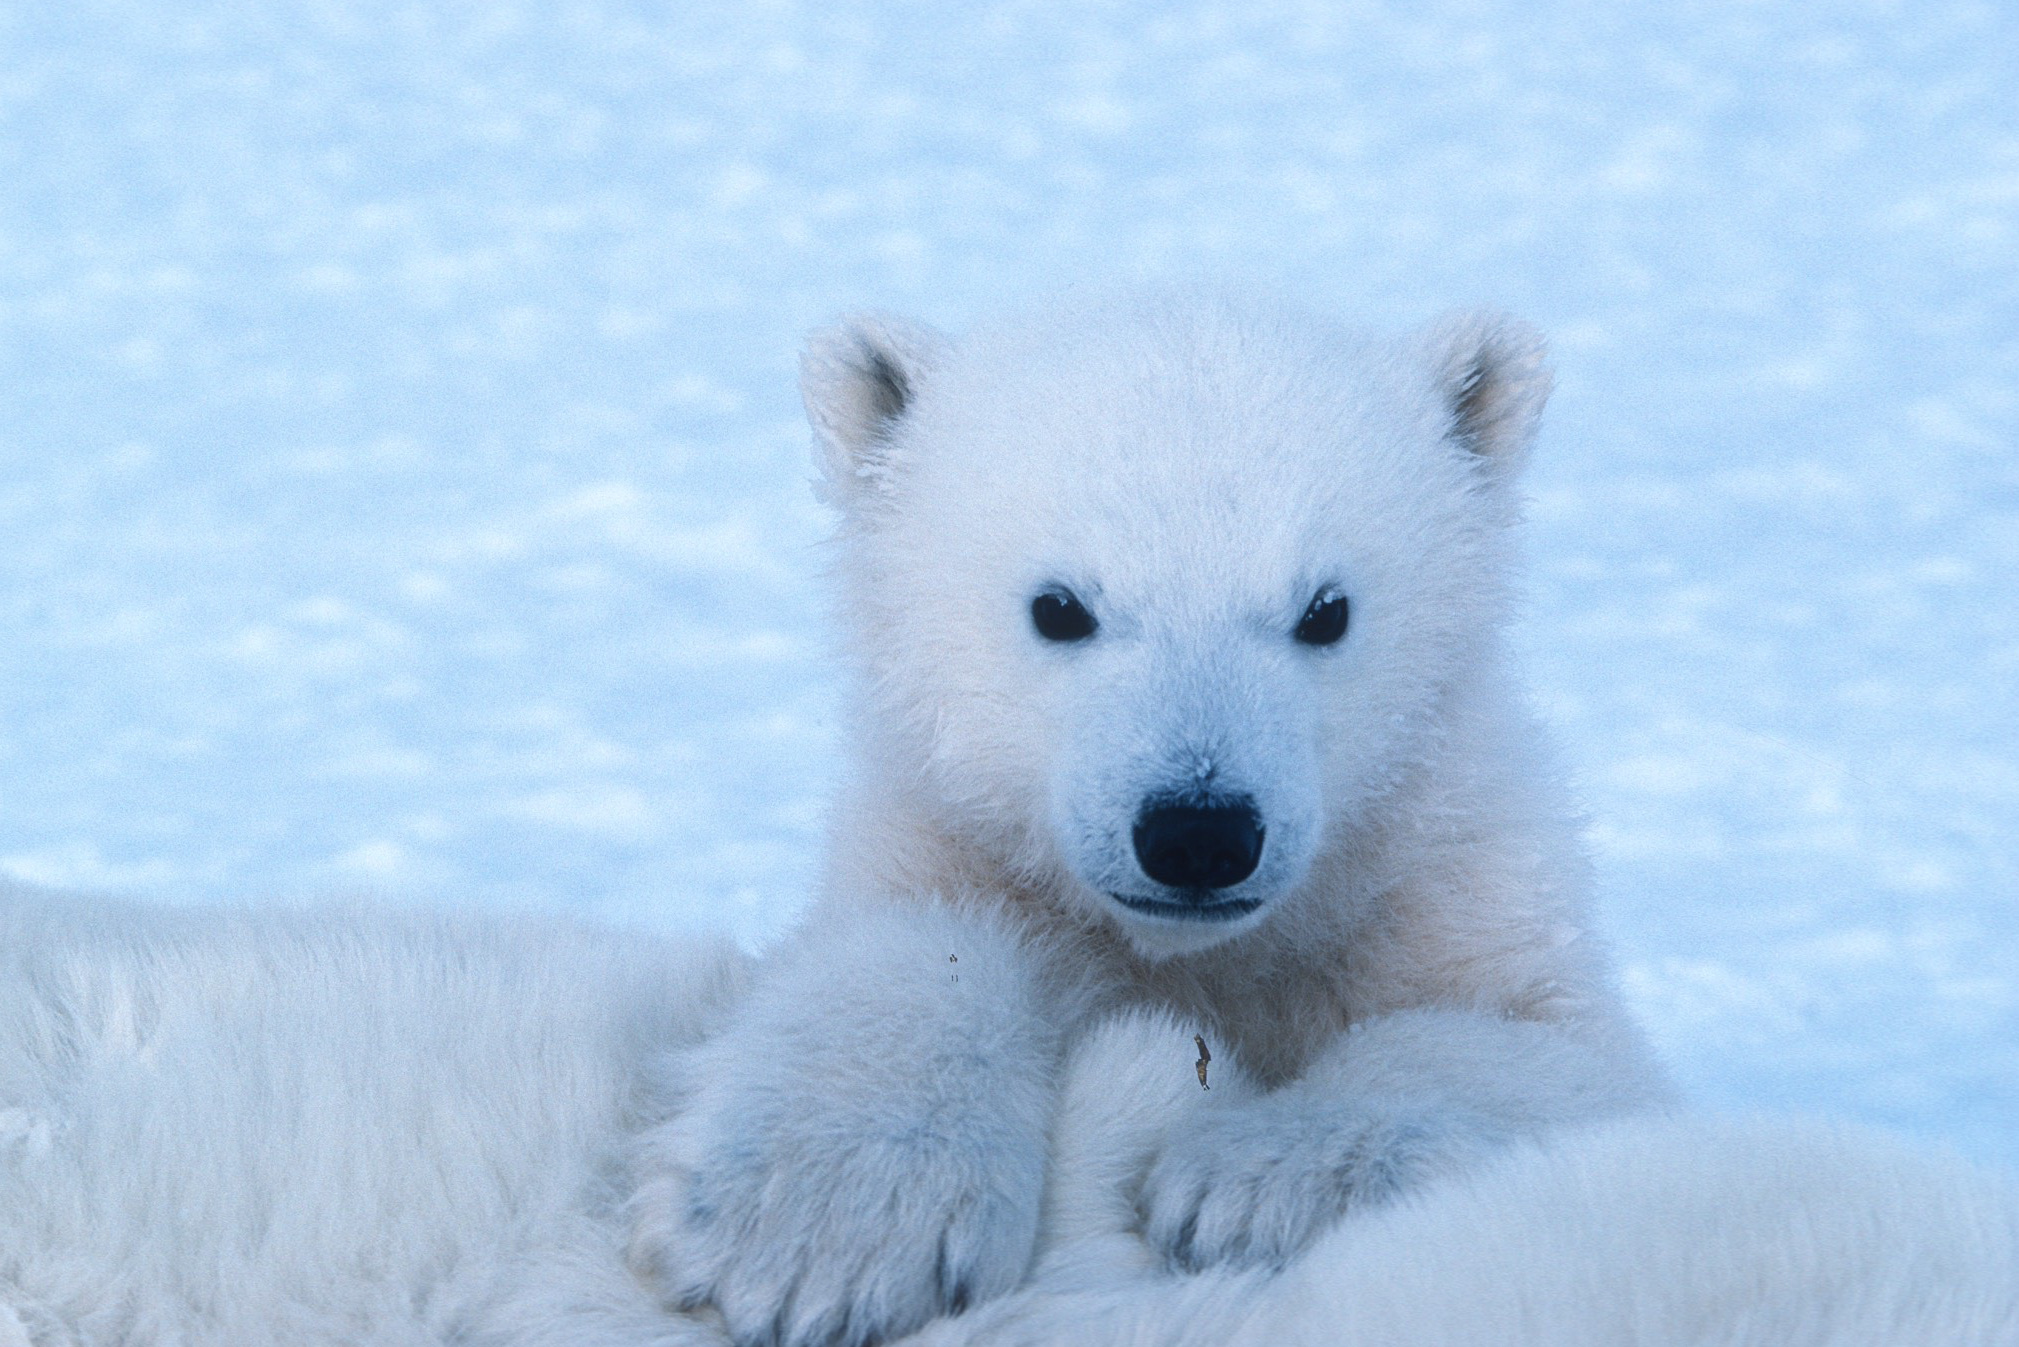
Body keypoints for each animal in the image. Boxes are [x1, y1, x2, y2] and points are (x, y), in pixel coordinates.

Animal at [627, 289, 1673, 1347]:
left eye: (1325, 609)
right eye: (1058, 607)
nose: (1198, 834)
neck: (1200, 958)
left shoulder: (1448, 874)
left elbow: (1538, 1047)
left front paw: (1254, 1182)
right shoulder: (946, 843)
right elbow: (905, 945)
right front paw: (823, 1226)